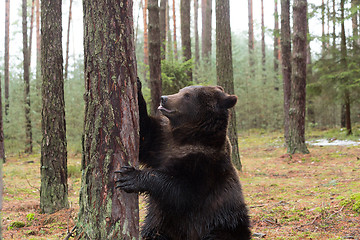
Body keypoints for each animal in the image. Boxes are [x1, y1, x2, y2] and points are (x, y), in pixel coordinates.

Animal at [115, 79, 250, 239]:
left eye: (187, 96)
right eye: (181, 91)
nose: (164, 98)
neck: (187, 137)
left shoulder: (205, 164)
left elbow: (182, 191)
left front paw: (129, 176)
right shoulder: (162, 142)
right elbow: (144, 136)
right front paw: (137, 85)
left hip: (225, 221)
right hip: (160, 227)